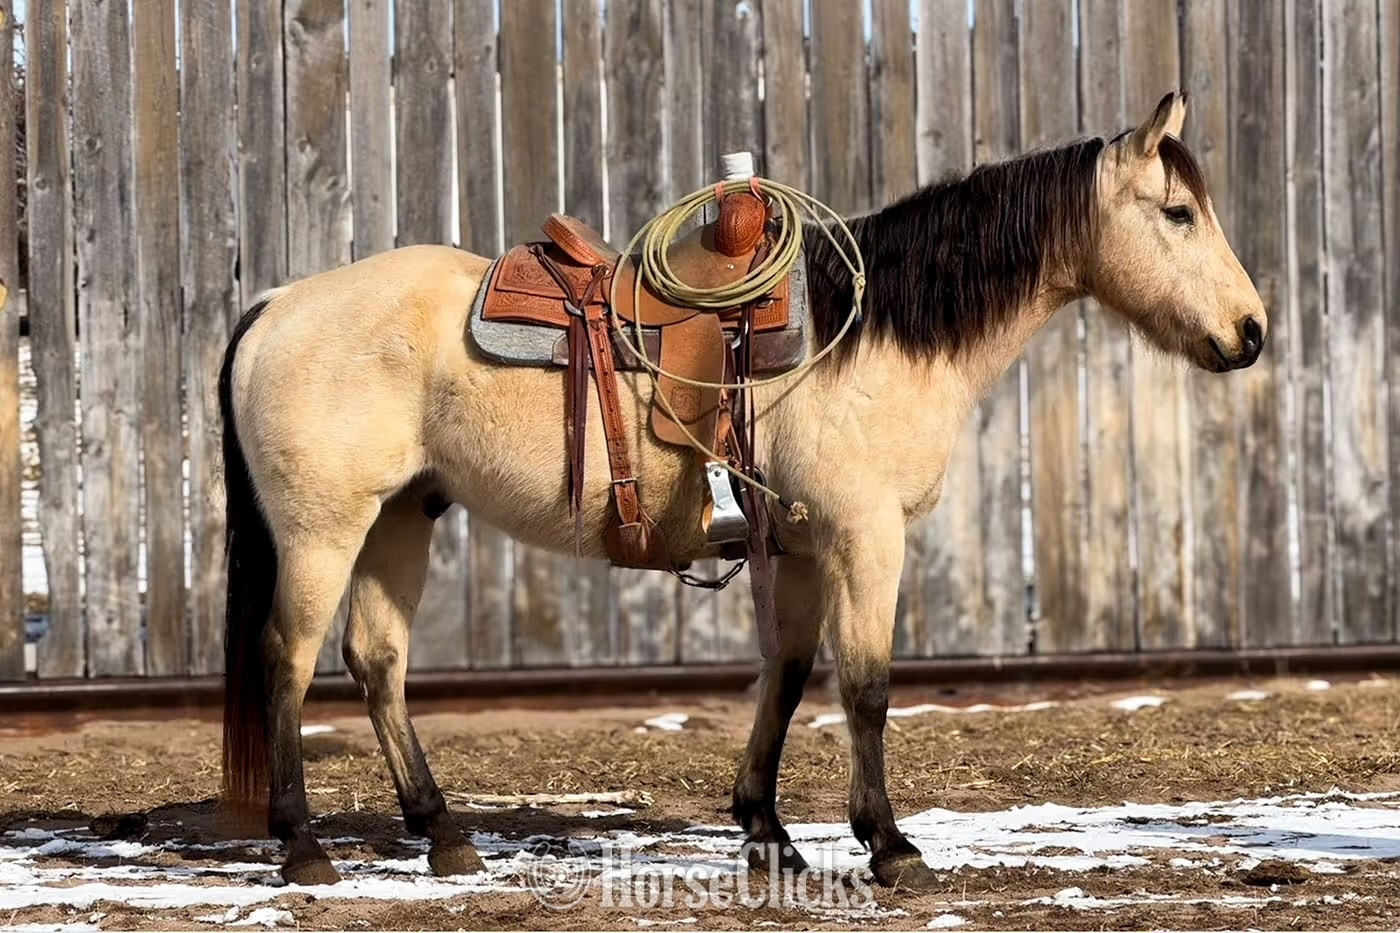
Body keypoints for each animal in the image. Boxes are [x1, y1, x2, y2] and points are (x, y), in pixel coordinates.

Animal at [219, 90, 1266, 889]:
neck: (869, 333)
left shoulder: (799, 547)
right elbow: (868, 686)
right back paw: (303, 845)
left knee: (377, 660)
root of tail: (278, 304)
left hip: (400, 517)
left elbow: (790, 678)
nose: (1251, 331)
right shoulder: (864, 536)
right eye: (1177, 213)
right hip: (324, 530)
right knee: (287, 657)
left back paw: (442, 834)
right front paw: (889, 845)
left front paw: (768, 832)